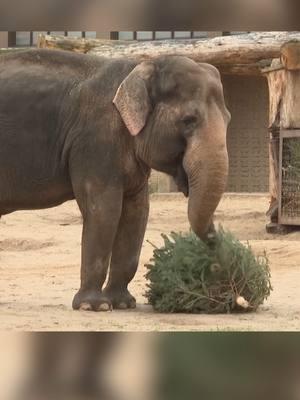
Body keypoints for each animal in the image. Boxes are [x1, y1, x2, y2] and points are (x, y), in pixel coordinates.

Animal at [0, 48, 230, 312]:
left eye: (229, 119)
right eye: (189, 120)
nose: (216, 264)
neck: (136, 68)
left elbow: (137, 212)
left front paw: (123, 303)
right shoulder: (94, 141)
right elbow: (104, 210)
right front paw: (93, 306)